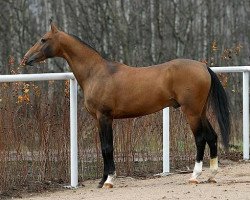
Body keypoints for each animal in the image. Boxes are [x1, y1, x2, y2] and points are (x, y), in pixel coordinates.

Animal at [20, 23, 229, 188]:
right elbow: (104, 147)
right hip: (201, 111)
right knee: (212, 136)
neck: (96, 73)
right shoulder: (99, 119)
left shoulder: (105, 117)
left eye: (43, 39)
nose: (26, 59)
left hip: (191, 112)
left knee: (200, 139)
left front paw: (109, 180)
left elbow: (107, 148)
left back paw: (194, 176)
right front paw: (102, 180)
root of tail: (203, 67)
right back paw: (212, 175)